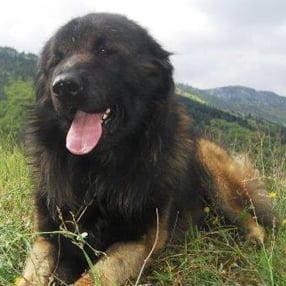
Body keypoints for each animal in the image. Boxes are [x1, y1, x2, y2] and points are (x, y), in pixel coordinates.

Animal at [17, 13, 274, 286]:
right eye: (56, 59)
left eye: (104, 50)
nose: (63, 87)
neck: (95, 171)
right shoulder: (47, 236)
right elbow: (28, 278)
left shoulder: (136, 242)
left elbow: (92, 278)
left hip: (210, 163)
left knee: (247, 215)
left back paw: (254, 239)